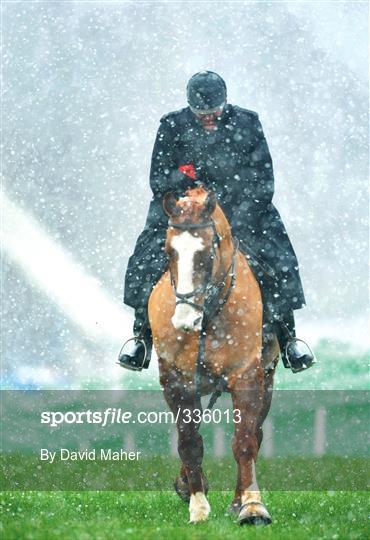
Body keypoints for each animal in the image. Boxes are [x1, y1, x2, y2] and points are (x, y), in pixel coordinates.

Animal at [147, 186, 278, 524]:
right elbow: (189, 443)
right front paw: (198, 506)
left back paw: (238, 500)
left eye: (206, 254)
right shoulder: (177, 382)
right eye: (168, 252)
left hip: (268, 378)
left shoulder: (246, 376)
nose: (184, 320)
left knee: (255, 435)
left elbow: (244, 442)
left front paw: (252, 506)